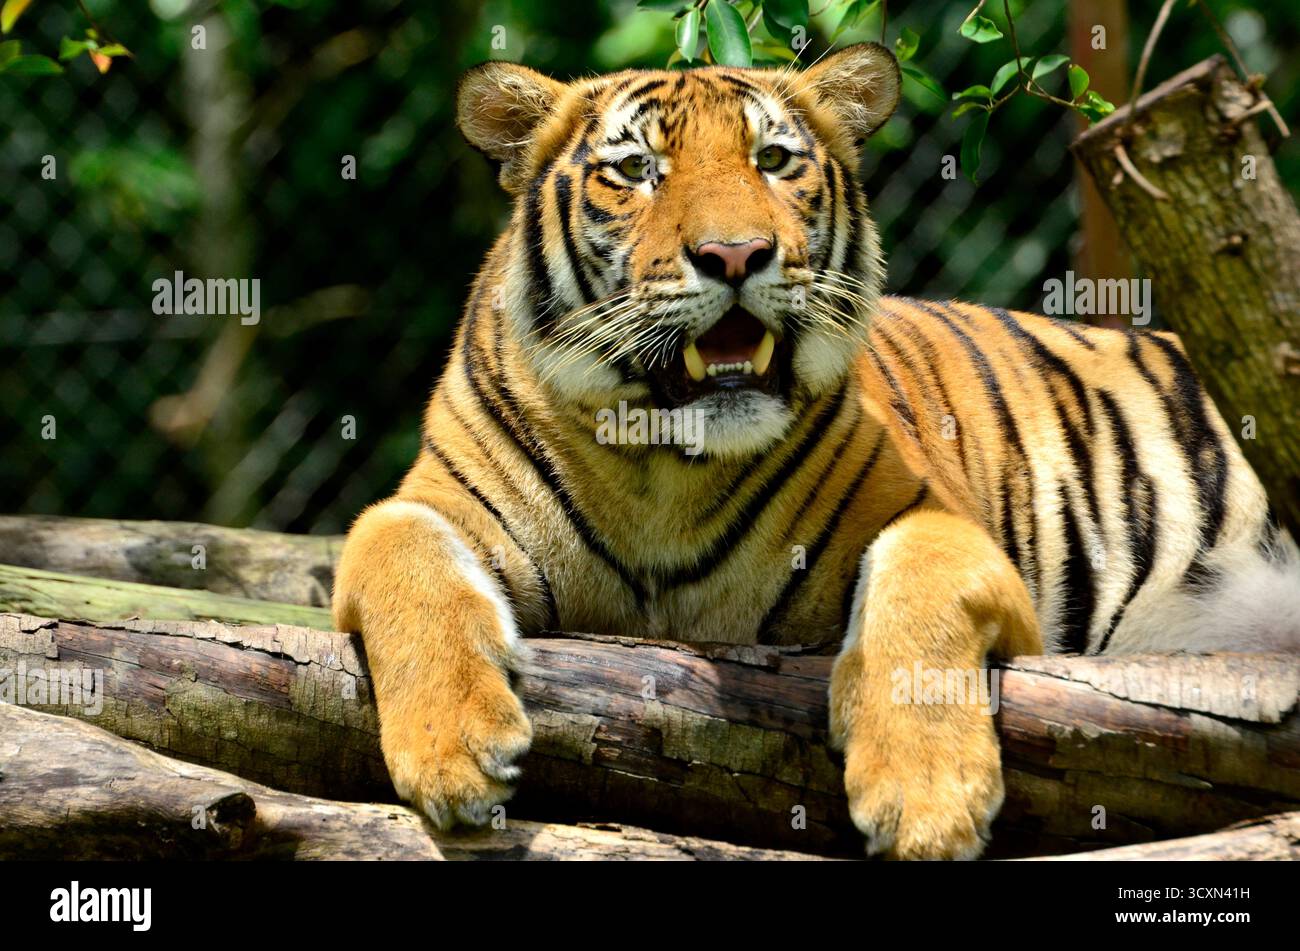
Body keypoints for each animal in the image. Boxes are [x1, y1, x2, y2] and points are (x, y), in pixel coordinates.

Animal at [332, 43, 1300, 859]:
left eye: (773, 160)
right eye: (637, 170)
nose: (735, 254)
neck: (658, 467)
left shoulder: (943, 526)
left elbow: (917, 592)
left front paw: (927, 801)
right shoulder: (420, 504)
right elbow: (400, 558)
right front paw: (456, 754)